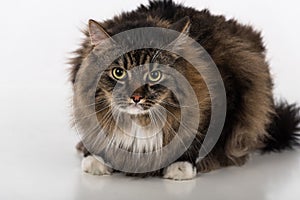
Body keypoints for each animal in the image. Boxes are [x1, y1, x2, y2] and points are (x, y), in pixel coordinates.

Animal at [68, 0, 300, 180]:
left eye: (154, 75)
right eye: (118, 73)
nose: (136, 97)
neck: (140, 122)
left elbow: (199, 136)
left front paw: (181, 166)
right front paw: (95, 159)